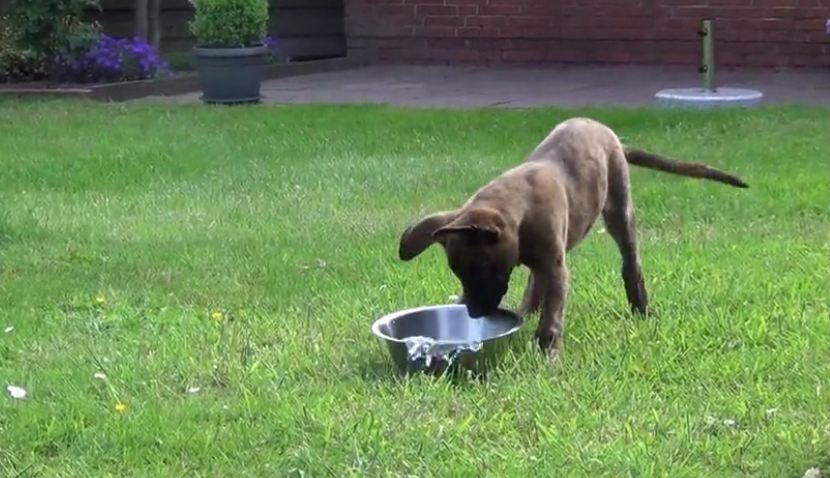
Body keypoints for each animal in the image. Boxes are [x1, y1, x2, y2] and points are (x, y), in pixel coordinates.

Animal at [396, 117, 748, 352]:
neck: (517, 213)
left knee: (630, 263)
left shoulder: (555, 268)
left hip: (619, 212)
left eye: (480, 268)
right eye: (458, 272)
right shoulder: (545, 261)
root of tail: (609, 133)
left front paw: (547, 353)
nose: (473, 313)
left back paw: (641, 308)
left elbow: (551, 316)